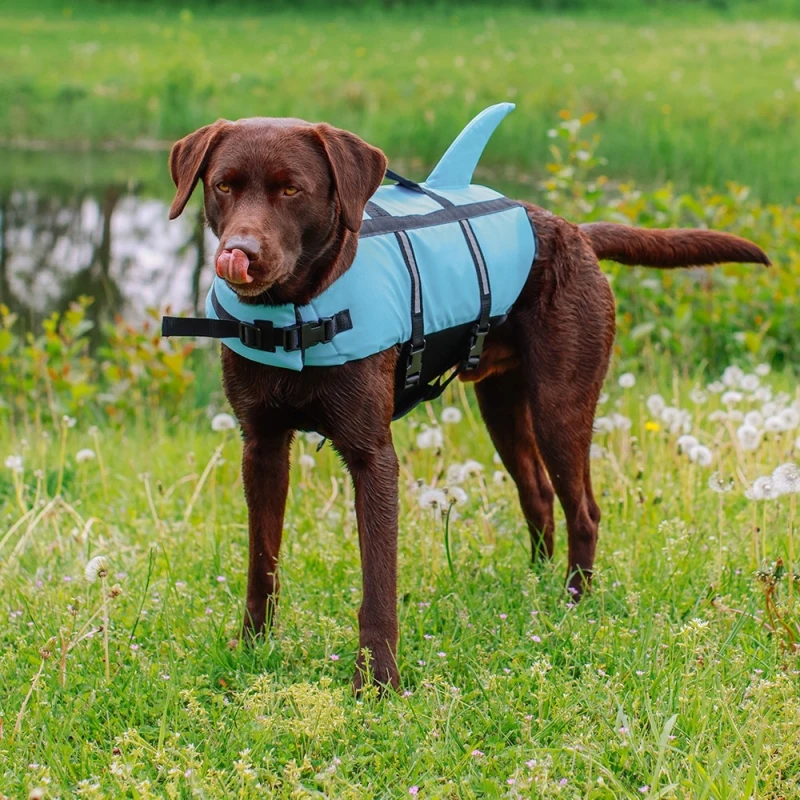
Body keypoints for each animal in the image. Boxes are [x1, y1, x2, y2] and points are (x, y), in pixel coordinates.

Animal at [167, 115, 768, 692]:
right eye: (223, 186)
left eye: (292, 189)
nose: (238, 254)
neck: (294, 314)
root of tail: (574, 230)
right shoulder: (262, 447)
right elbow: (260, 564)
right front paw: (253, 647)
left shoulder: (372, 457)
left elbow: (377, 586)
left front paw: (377, 684)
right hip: (501, 408)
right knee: (537, 495)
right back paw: (534, 584)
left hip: (560, 408)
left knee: (584, 511)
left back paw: (573, 603)